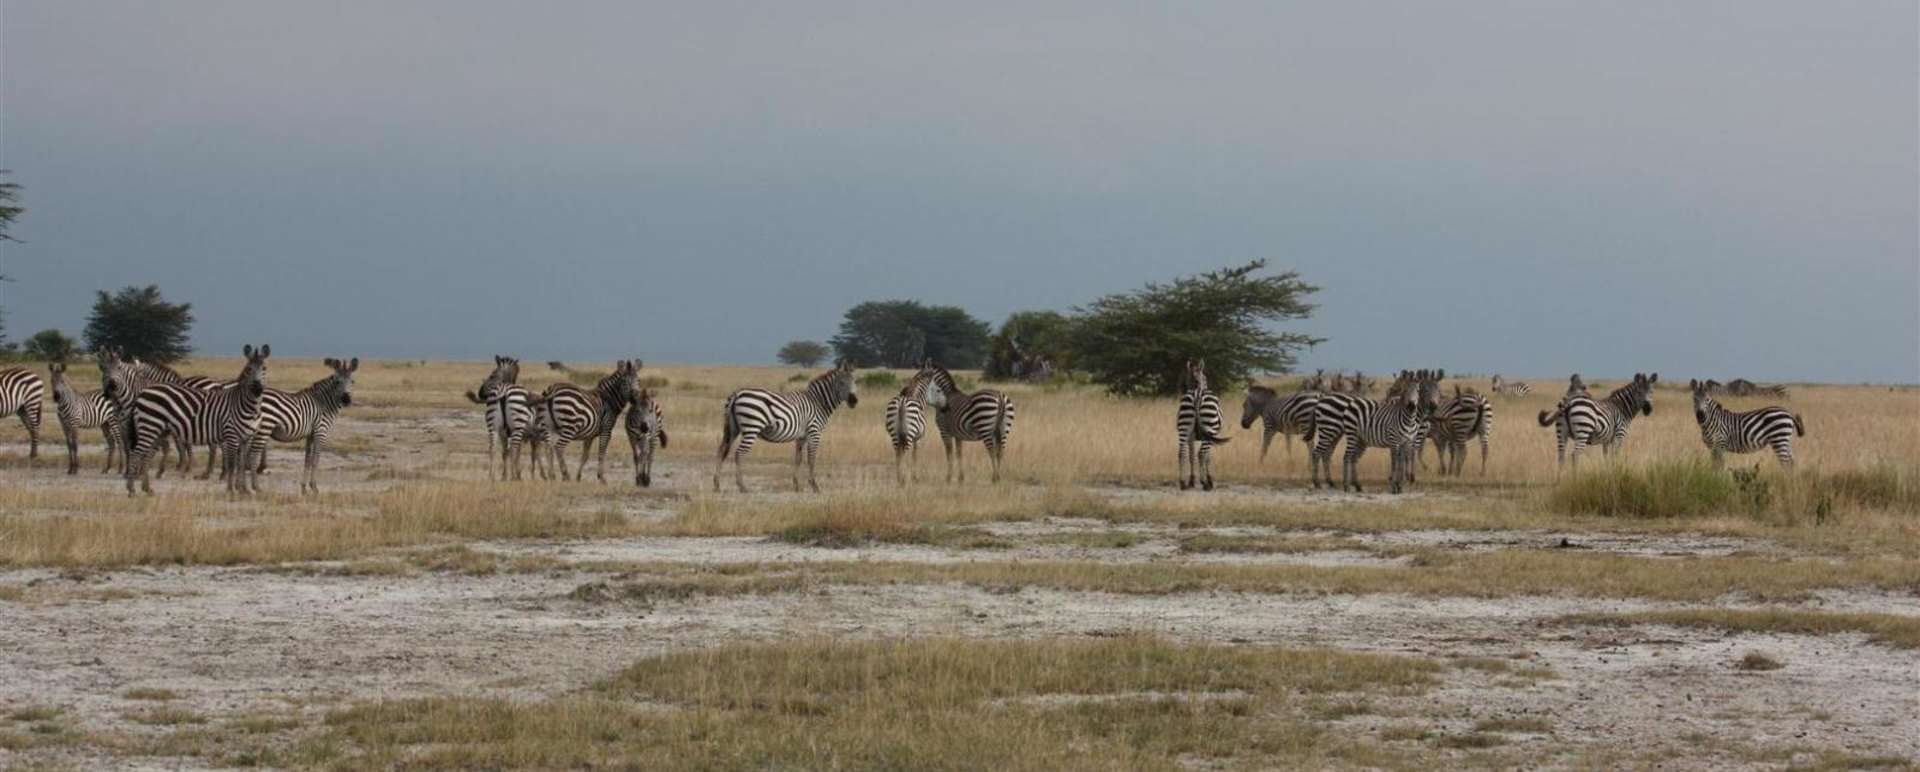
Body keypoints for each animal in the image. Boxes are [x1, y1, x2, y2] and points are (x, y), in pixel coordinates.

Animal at [123, 344, 272, 496]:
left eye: (264, 368)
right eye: (249, 369)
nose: (257, 389)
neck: (248, 406)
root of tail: (144, 392)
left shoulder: (246, 438)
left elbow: (240, 465)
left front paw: (244, 490)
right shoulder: (231, 435)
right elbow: (232, 465)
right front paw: (231, 490)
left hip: (159, 430)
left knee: (147, 454)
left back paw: (146, 488)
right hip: (150, 426)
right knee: (137, 453)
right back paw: (131, 489)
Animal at [245, 357, 358, 494]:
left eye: (352, 381)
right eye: (337, 382)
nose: (346, 399)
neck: (324, 403)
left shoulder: (310, 434)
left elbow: (307, 460)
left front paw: (304, 488)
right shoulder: (321, 431)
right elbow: (316, 459)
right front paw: (314, 487)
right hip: (264, 427)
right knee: (253, 455)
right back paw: (256, 487)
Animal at [713, 360, 859, 493]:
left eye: (854, 382)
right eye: (841, 383)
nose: (854, 401)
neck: (818, 402)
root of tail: (737, 394)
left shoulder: (802, 436)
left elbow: (798, 459)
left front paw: (797, 485)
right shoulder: (814, 432)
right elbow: (811, 459)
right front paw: (814, 486)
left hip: (733, 429)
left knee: (721, 450)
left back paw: (717, 485)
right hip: (752, 428)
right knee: (739, 454)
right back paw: (742, 486)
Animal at [1176, 359, 1232, 490]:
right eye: (1205, 378)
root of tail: (1197, 394)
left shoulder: (1191, 437)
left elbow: (1191, 456)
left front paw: (1191, 481)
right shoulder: (1211, 436)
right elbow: (1207, 457)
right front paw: (1209, 479)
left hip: (1184, 427)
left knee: (1182, 453)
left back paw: (1183, 483)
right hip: (1209, 428)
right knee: (1201, 454)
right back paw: (1205, 483)